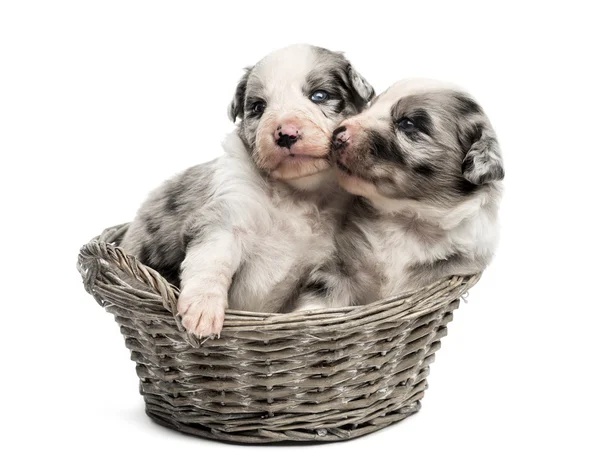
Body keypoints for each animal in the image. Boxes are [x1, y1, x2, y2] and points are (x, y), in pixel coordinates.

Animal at [119, 45, 372, 336]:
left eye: (319, 95)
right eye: (258, 107)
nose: (286, 134)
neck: (298, 194)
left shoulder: (331, 261)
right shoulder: (227, 215)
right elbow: (211, 259)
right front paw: (203, 310)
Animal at [298, 78, 502, 306]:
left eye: (407, 123)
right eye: (371, 105)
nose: (336, 135)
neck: (406, 219)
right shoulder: (339, 268)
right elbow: (316, 300)